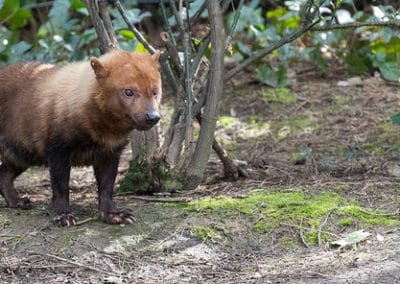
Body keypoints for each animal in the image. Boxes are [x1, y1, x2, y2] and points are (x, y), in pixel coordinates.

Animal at [0, 49, 162, 226]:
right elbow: (60, 185)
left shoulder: (110, 153)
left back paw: (18, 201)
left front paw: (115, 215)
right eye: (128, 92)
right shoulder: (57, 149)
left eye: (155, 91)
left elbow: (107, 186)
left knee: (4, 175)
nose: (153, 117)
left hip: (22, 154)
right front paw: (62, 215)